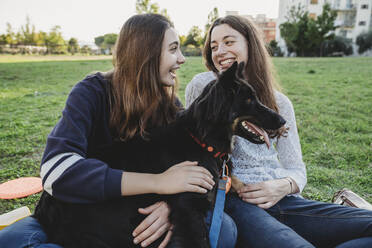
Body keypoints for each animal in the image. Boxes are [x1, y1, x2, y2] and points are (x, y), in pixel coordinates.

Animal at [34, 62, 284, 248]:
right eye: (249, 100)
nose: (283, 121)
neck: (202, 140)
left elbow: (236, 181)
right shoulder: (188, 210)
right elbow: (200, 240)